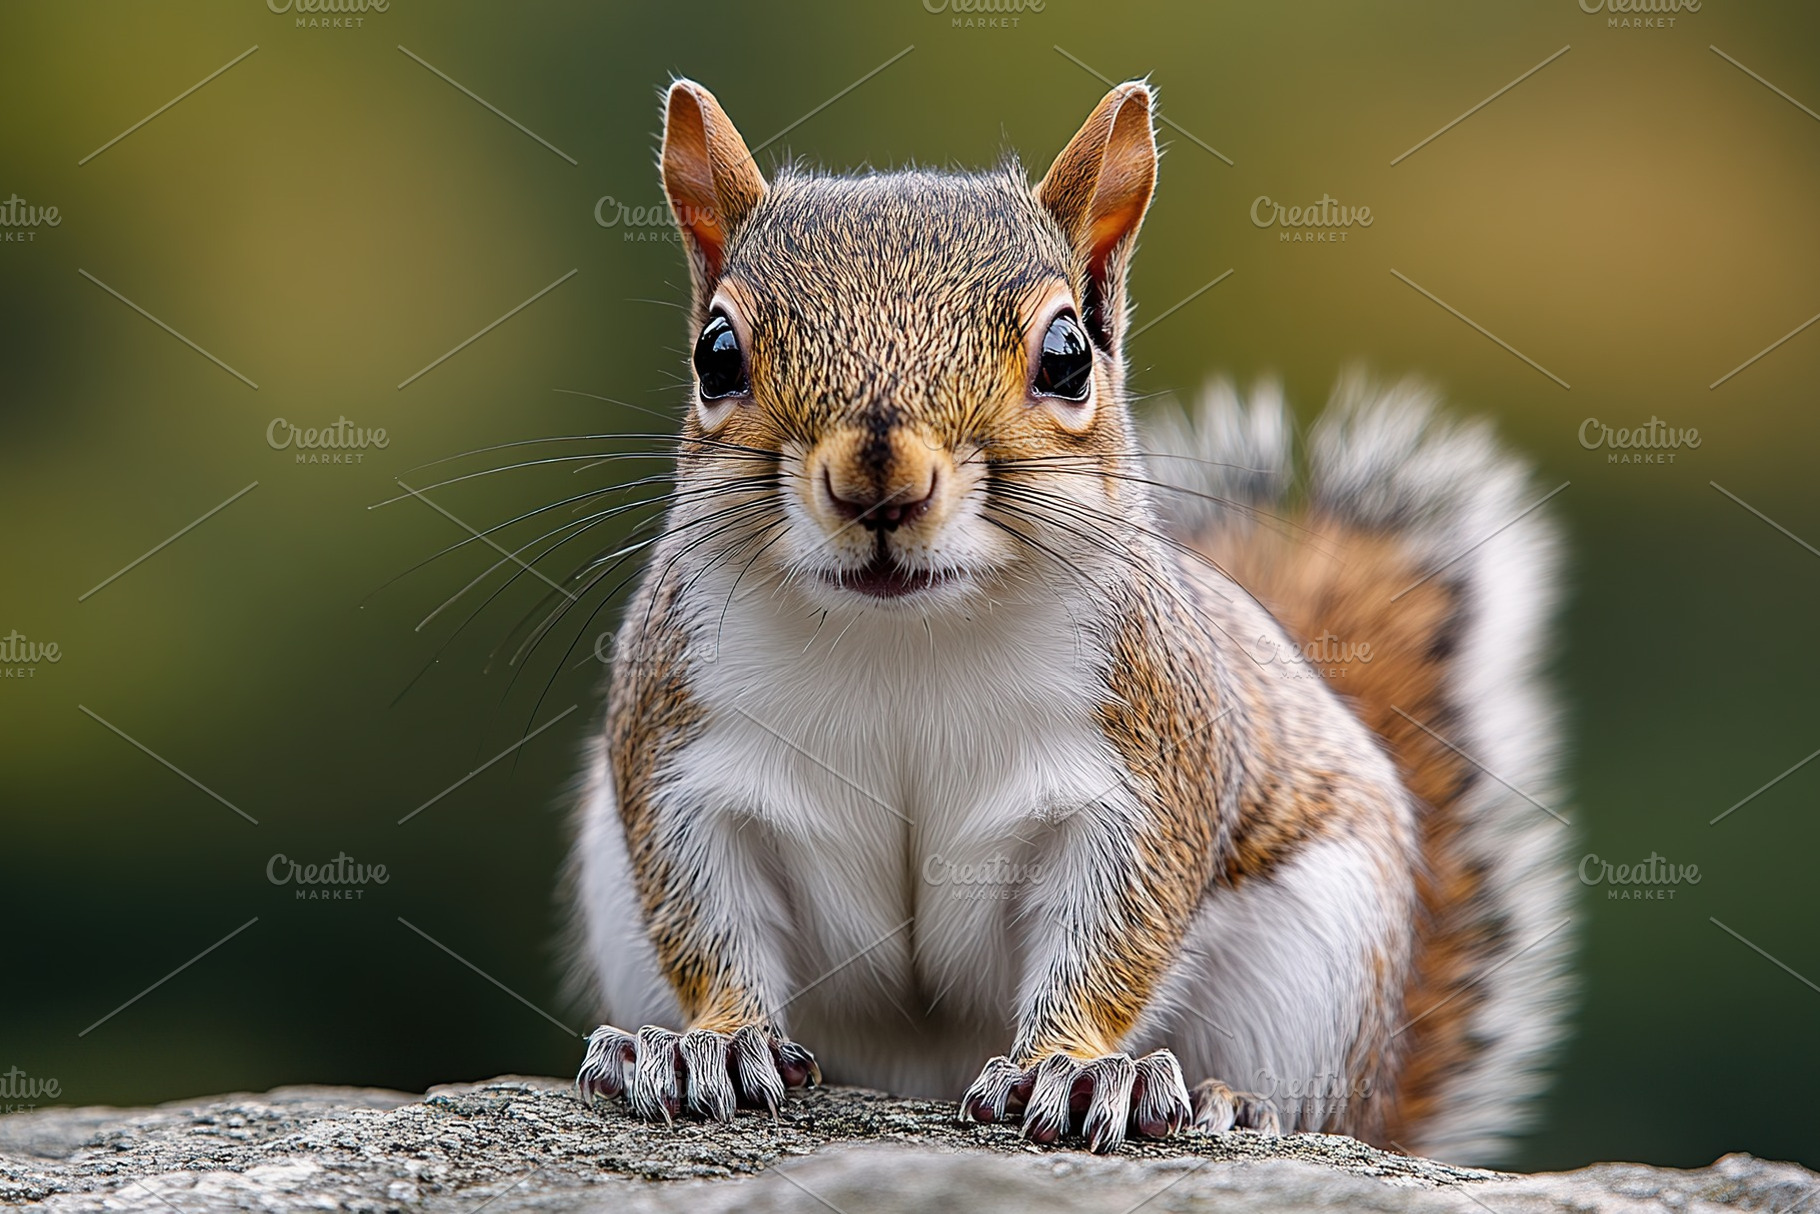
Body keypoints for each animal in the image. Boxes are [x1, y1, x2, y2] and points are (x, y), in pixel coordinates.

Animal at [567, 78, 1574, 1163]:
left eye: (1067, 355)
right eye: (716, 354)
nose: (879, 482)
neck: (904, 638)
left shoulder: (1144, 769)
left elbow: (1111, 936)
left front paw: (1080, 1066)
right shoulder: (683, 764)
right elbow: (706, 920)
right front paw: (706, 1044)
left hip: (1316, 952)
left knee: (1308, 1103)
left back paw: (1226, 1100)